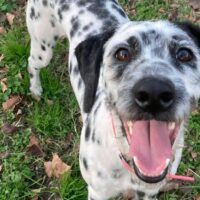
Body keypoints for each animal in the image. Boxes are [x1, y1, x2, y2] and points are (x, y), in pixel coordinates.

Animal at [25, 0, 200, 200]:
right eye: (122, 53)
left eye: (184, 54)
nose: (154, 93)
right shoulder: (97, 192)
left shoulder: (147, 193)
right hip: (42, 47)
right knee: (31, 63)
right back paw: (35, 88)